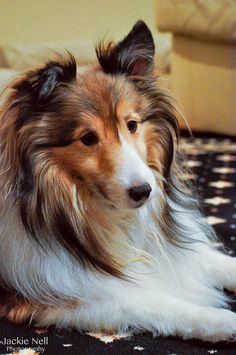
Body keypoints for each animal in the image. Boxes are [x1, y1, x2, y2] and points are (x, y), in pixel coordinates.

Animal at [0, 20, 236, 344]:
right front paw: (223, 320)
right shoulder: (62, 293)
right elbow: (160, 304)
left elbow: (212, 260)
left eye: (132, 125)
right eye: (87, 138)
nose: (143, 192)